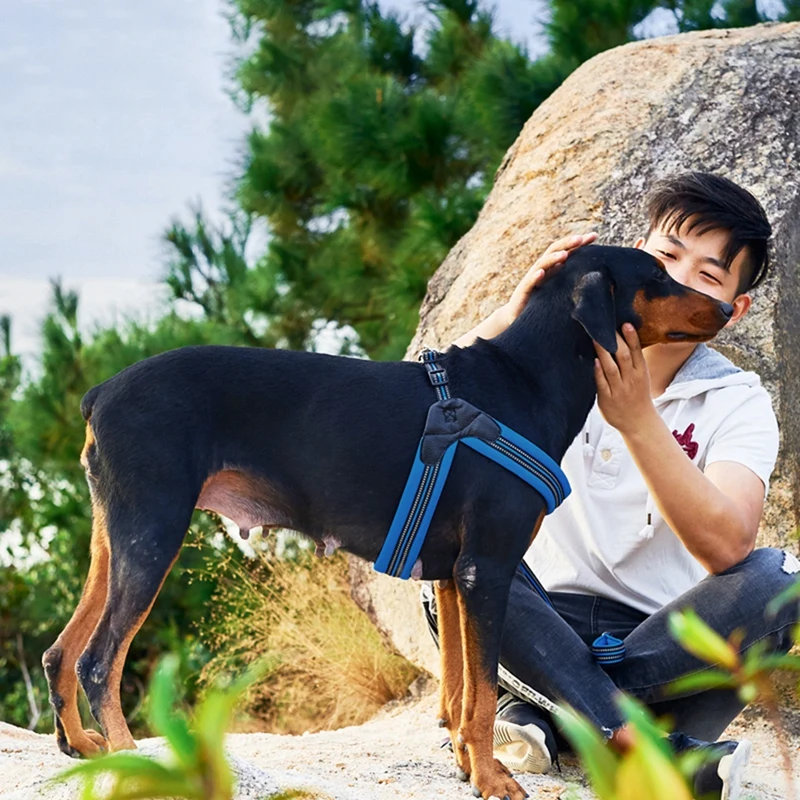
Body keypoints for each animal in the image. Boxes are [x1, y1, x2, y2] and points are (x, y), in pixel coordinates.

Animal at [42, 245, 732, 800]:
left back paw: (81, 747)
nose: (727, 306)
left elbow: (460, 690)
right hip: (153, 533)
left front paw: (467, 765)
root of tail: (99, 393)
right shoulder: (489, 567)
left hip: (116, 539)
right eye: (658, 275)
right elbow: (484, 692)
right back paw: (132, 761)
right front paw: (493, 779)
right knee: (98, 661)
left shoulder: (454, 576)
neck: (523, 380)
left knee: (60, 651)